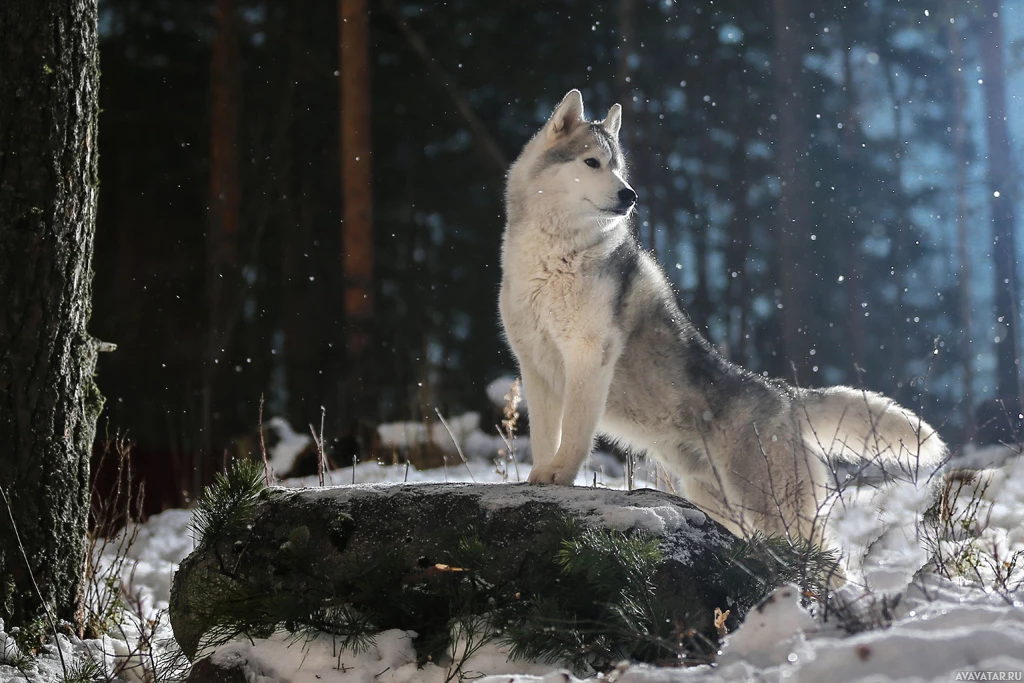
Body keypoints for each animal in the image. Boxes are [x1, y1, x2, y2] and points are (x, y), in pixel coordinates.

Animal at [495, 89, 942, 544]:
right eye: (592, 163)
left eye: (618, 168)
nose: (630, 196)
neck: (553, 258)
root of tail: (783, 393)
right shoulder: (535, 366)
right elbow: (545, 435)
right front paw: (540, 475)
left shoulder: (589, 356)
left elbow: (575, 434)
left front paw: (561, 475)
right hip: (719, 503)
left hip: (773, 510)